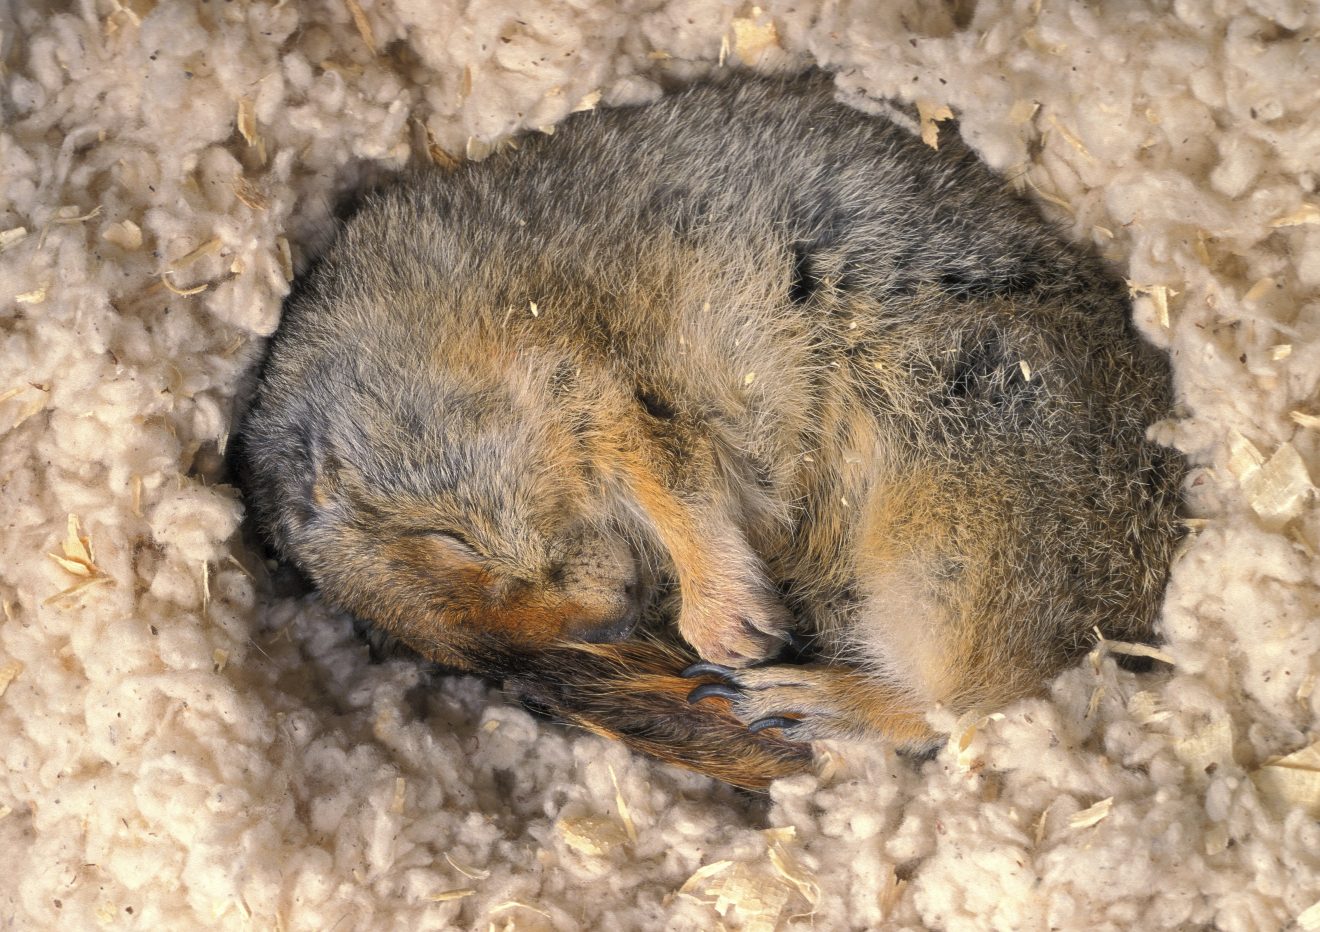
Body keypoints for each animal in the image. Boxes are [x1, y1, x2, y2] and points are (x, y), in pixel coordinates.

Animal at [236, 73, 1183, 790]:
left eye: (448, 540)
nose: (619, 611)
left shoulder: (577, 375)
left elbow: (666, 471)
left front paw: (729, 623)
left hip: (952, 528)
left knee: (953, 707)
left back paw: (789, 695)